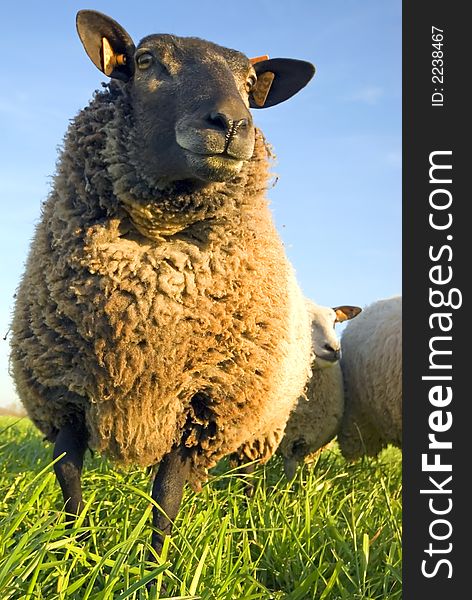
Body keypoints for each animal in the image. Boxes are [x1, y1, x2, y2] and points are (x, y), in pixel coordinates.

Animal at [7, 8, 316, 556]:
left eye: (249, 81)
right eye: (147, 60)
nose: (233, 123)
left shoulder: (205, 404)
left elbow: (165, 495)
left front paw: (156, 563)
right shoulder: (63, 395)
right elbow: (69, 481)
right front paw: (76, 550)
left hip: (261, 425)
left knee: (243, 477)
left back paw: (243, 519)